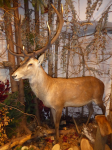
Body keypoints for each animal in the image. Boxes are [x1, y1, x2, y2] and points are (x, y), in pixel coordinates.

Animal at [7, 4, 106, 142]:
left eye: (30, 64)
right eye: (21, 62)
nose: (13, 75)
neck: (47, 91)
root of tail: (102, 83)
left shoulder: (60, 104)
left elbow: (58, 123)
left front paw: (58, 140)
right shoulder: (51, 107)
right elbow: (54, 123)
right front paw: (55, 138)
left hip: (98, 97)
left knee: (104, 107)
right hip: (88, 101)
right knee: (91, 111)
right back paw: (84, 128)